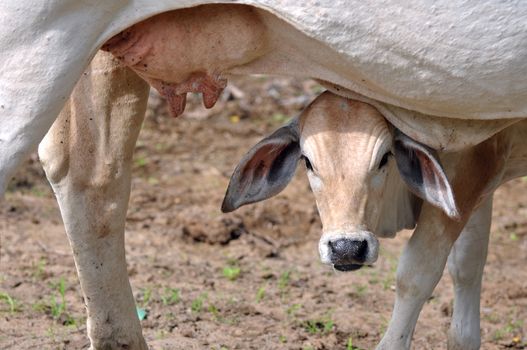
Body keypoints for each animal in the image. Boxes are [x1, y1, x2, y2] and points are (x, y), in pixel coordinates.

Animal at [223, 91, 527, 348]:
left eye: (384, 157)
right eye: (308, 162)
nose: (346, 248)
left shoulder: (470, 167)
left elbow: (416, 275)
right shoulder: (478, 185)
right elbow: (466, 267)